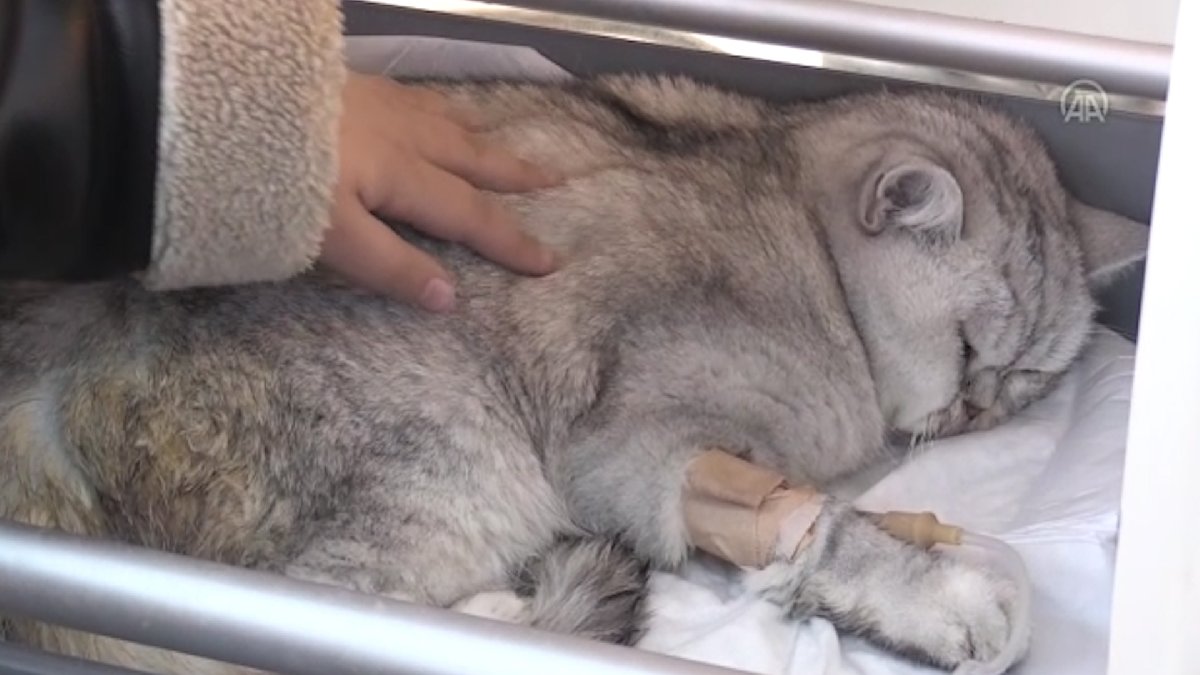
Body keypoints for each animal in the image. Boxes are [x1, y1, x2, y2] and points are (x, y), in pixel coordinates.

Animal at [0, 75, 1148, 674]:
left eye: (1026, 382)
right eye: (969, 352)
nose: (972, 410)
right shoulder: (637, 444)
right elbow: (820, 527)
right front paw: (944, 592)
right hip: (450, 452)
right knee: (292, 618)